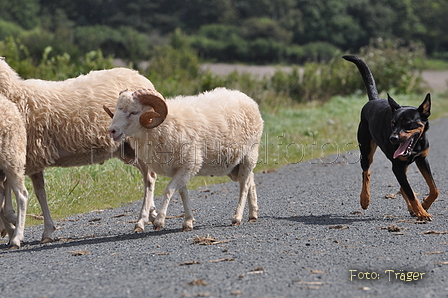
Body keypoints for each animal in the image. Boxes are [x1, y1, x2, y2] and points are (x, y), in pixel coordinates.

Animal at [0, 56, 158, 247]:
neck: (16, 94)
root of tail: (142, 77)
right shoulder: (27, 157)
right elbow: (37, 193)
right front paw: (38, 229)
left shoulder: (24, 154)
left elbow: (23, 195)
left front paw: (15, 226)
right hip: (125, 148)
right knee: (147, 173)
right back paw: (153, 214)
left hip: (134, 141)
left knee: (149, 177)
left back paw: (141, 220)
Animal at [106, 87, 262, 232]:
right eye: (117, 109)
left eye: (134, 112)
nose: (111, 131)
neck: (163, 126)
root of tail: (247, 99)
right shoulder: (180, 169)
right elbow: (183, 193)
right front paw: (188, 222)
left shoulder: (190, 165)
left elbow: (169, 190)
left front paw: (159, 221)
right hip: (234, 165)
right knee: (250, 180)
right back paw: (253, 214)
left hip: (249, 154)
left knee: (244, 185)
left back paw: (237, 217)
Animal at [344, 54, 440, 220]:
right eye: (393, 123)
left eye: (408, 123)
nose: (392, 138)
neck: (415, 146)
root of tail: (373, 100)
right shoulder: (397, 166)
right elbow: (410, 191)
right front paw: (422, 212)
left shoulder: (422, 159)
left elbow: (434, 189)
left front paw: (425, 204)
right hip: (366, 151)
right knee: (366, 172)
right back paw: (365, 199)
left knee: (402, 186)